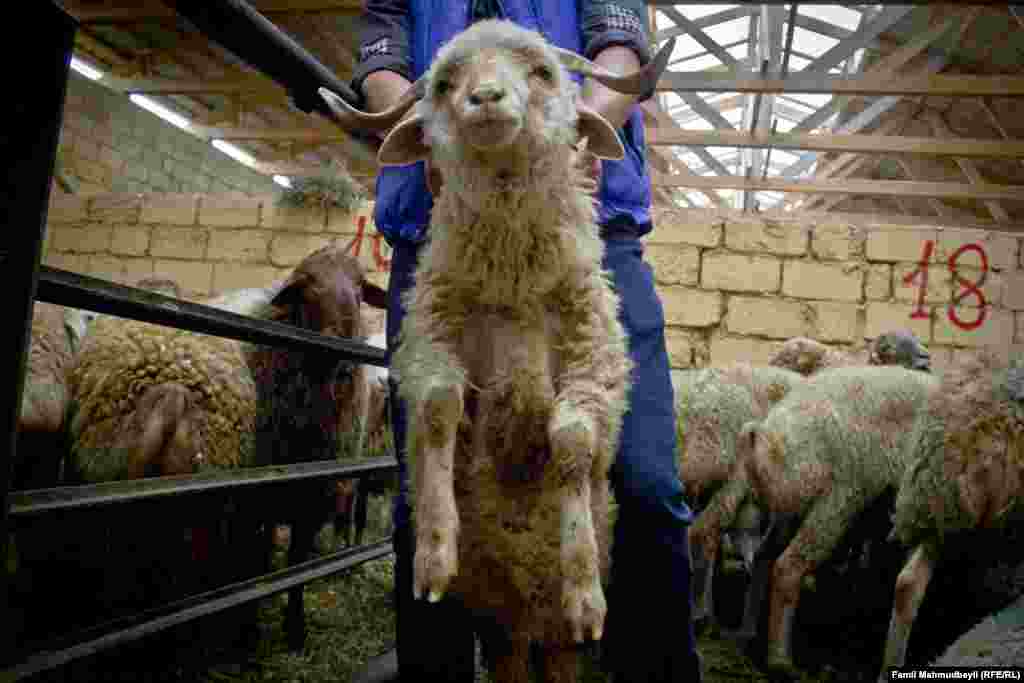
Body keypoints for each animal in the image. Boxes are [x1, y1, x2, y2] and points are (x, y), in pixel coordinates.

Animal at [319, 17, 671, 683]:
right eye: (443, 84)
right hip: (499, 622)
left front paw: (584, 587)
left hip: (556, 642)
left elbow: (573, 440)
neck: (513, 279)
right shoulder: (431, 334)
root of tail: (527, 618)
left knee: (561, 653)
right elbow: (438, 409)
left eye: (542, 71)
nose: (483, 98)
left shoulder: (593, 352)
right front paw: (433, 553)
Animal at [733, 366, 937, 675]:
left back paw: (748, 638)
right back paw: (782, 663)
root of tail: (770, 439)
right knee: (787, 566)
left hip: (791, 511)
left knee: (763, 557)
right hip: (837, 499)